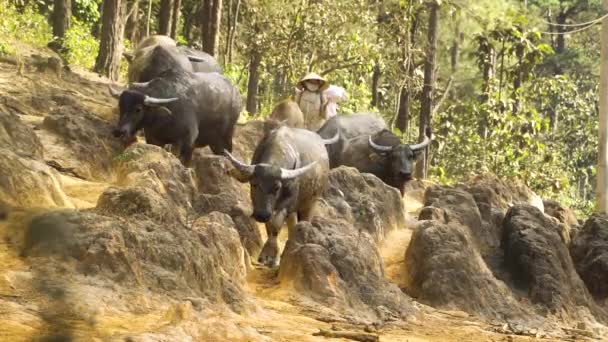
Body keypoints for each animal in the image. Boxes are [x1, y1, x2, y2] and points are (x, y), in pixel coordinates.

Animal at [109, 70, 242, 164]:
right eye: (120, 106)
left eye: (138, 109)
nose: (119, 131)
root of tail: (236, 94)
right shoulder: (154, 140)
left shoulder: (185, 142)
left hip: (226, 138)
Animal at [224, 126, 340, 268]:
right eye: (254, 184)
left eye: (277, 187)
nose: (261, 215)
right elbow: (269, 226)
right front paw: (270, 257)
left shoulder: (287, 203)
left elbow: (276, 225)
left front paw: (270, 256)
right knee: (292, 225)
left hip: (311, 202)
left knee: (304, 222)